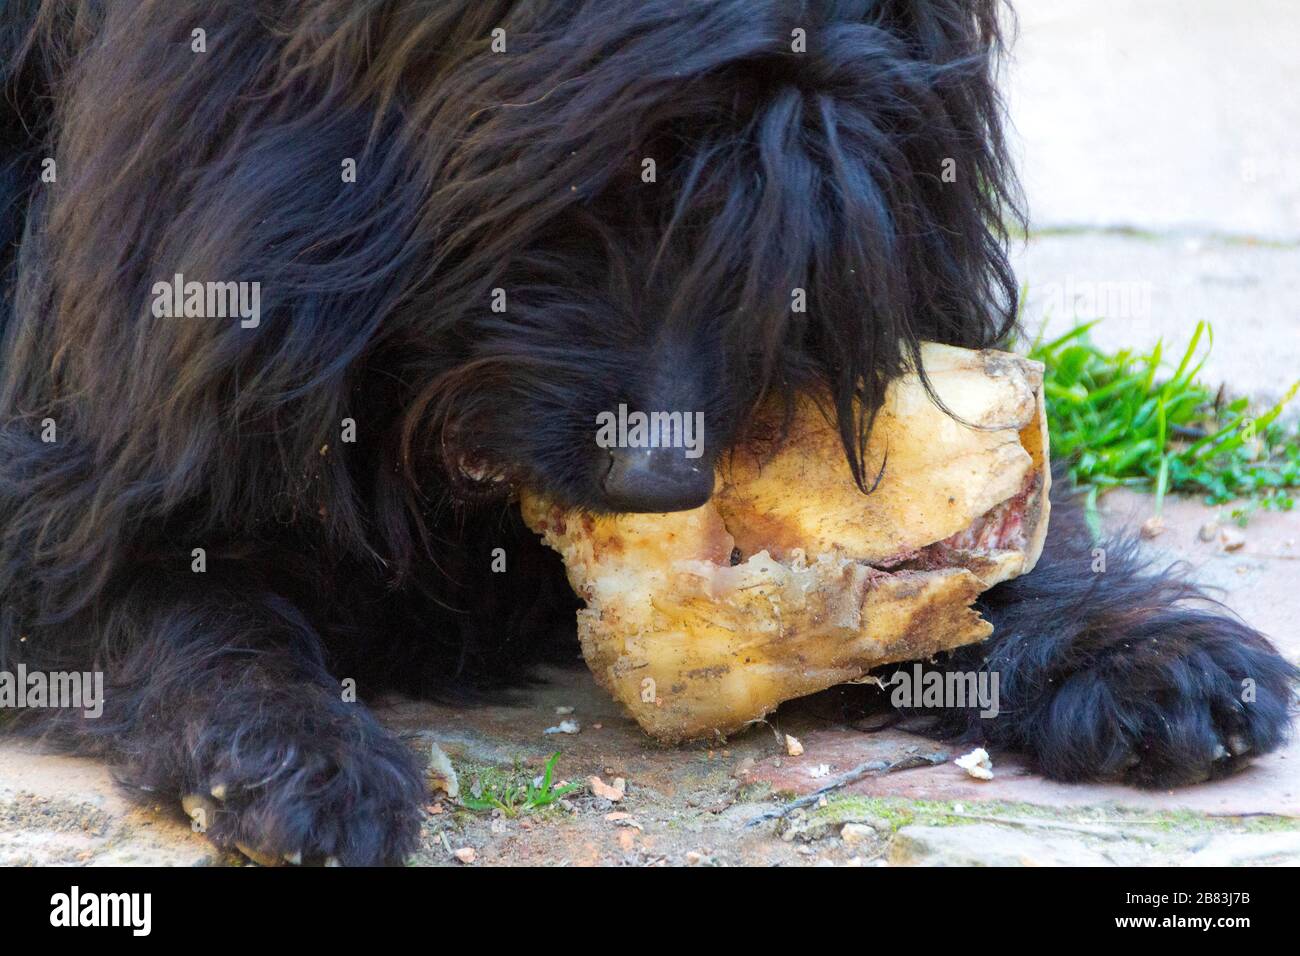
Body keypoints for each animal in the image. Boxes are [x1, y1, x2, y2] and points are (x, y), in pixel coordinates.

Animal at [0, 0, 1294, 868]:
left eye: (796, 226)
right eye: (583, 198)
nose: (661, 480)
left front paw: (1125, 644)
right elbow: (173, 588)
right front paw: (295, 756)